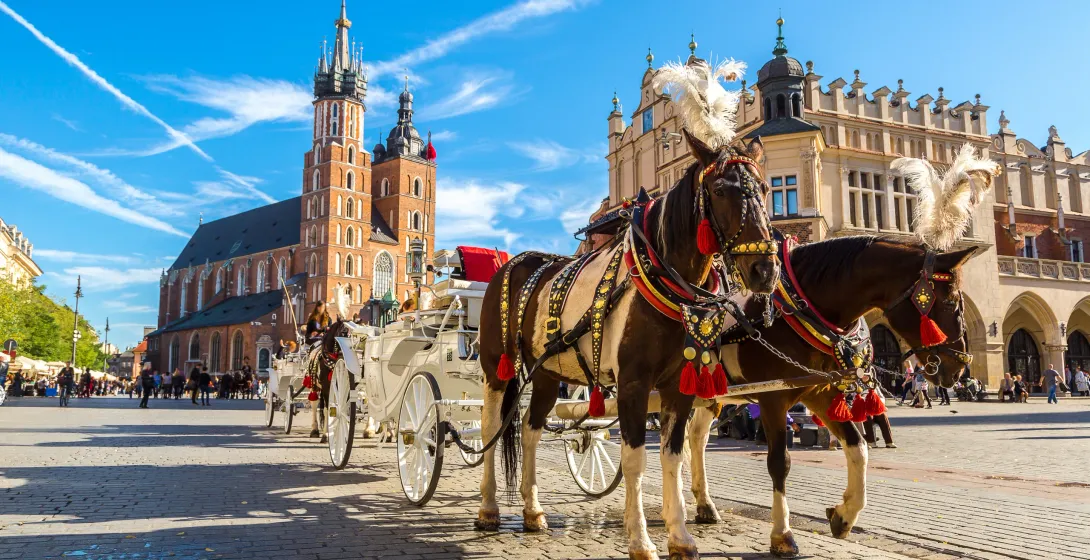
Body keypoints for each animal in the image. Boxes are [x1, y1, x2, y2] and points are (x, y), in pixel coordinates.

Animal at [476, 129, 780, 559]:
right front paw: (640, 539)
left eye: (767, 189)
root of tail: (512, 264)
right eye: (720, 189)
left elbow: (672, 456)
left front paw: (680, 536)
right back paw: (488, 508)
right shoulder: (634, 384)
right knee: (490, 427)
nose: (764, 270)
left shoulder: (678, 387)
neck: (663, 280)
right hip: (496, 367)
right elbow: (635, 459)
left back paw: (533, 511)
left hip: (548, 373)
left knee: (530, 430)